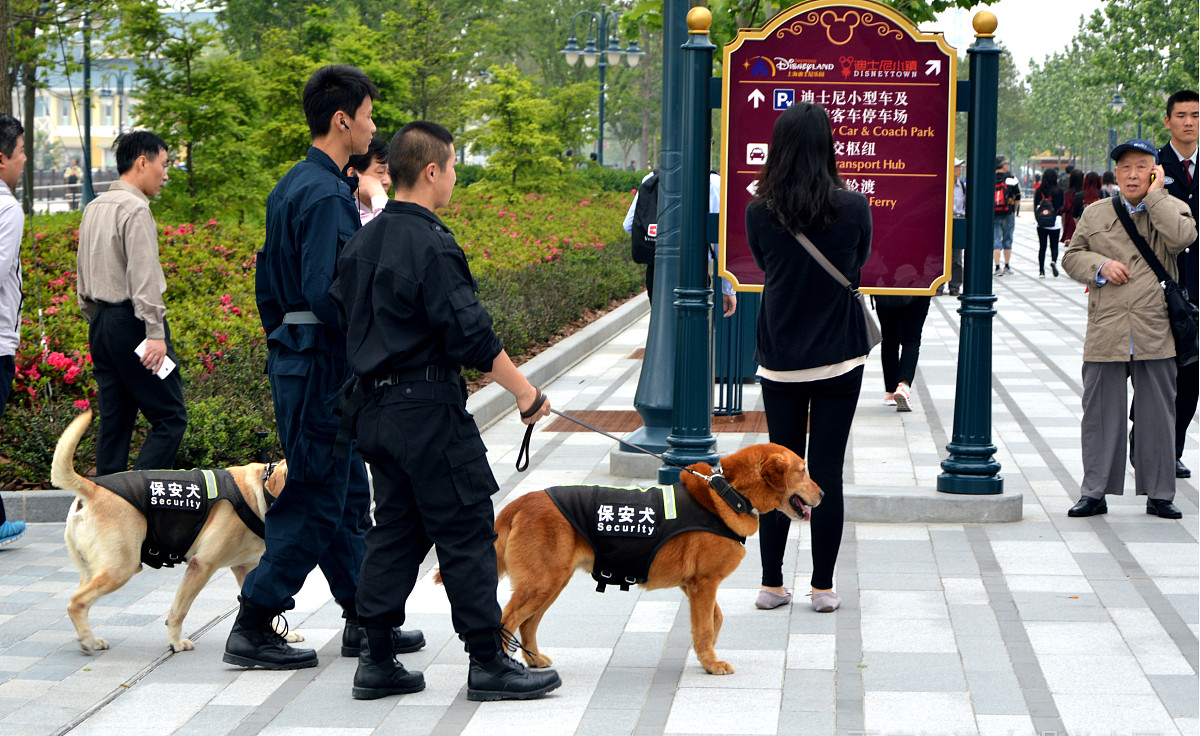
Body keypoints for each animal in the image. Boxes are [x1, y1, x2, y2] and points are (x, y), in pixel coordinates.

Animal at [53, 408, 300, 653]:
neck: (260, 494)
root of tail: (92, 488)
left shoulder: (244, 568)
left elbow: (264, 605)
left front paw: (280, 634)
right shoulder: (202, 565)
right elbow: (179, 611)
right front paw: (176, 642)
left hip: (94, 567)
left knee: (82, 600)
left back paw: (90, 638)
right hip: (120, 567)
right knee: (77, 602)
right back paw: (87, 640)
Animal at [492, 439, 820, 672]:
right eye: (803, 470)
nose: (824, 494)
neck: (728, 492)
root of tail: (519, 503)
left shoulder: (694, 585)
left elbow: (715, 619)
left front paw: (706, 656)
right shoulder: (703, 584)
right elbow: (705, 626)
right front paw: (710, 662)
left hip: (551, 583)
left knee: (527, 623)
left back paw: (534, 659)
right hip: (541, 584)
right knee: (507, 620)